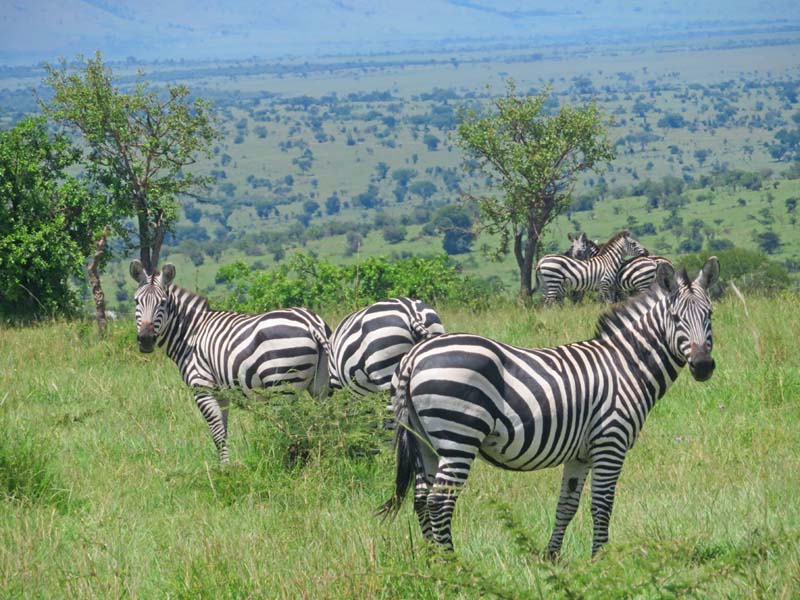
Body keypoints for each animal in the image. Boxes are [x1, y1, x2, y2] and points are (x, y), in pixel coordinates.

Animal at [131, 258, 332, 464]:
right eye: (136, 301)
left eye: (162, 303)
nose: (145, 339)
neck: (190, 333)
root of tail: (313, 323)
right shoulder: (221, 393)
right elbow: (223, 430)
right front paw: (225, 464)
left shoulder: (202, 387)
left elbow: (217, 433)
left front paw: (225, 468)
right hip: (319, 386)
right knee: (324, 422)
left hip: (281, 386)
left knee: (290, 426)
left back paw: (282, 459)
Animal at [378, 255, 720, 556]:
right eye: (676, 318)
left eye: (710, 315)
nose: (703, 366)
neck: (627, 365)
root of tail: (415, 355)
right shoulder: (611, 441)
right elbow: (602, 504)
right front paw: (600, 560)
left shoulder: (581, 453)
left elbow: (567, 505)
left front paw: (552, 556)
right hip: (458, 435)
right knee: (440, 501)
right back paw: (453, 563)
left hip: (424, 440)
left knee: (422, 498)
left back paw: (433, 562)